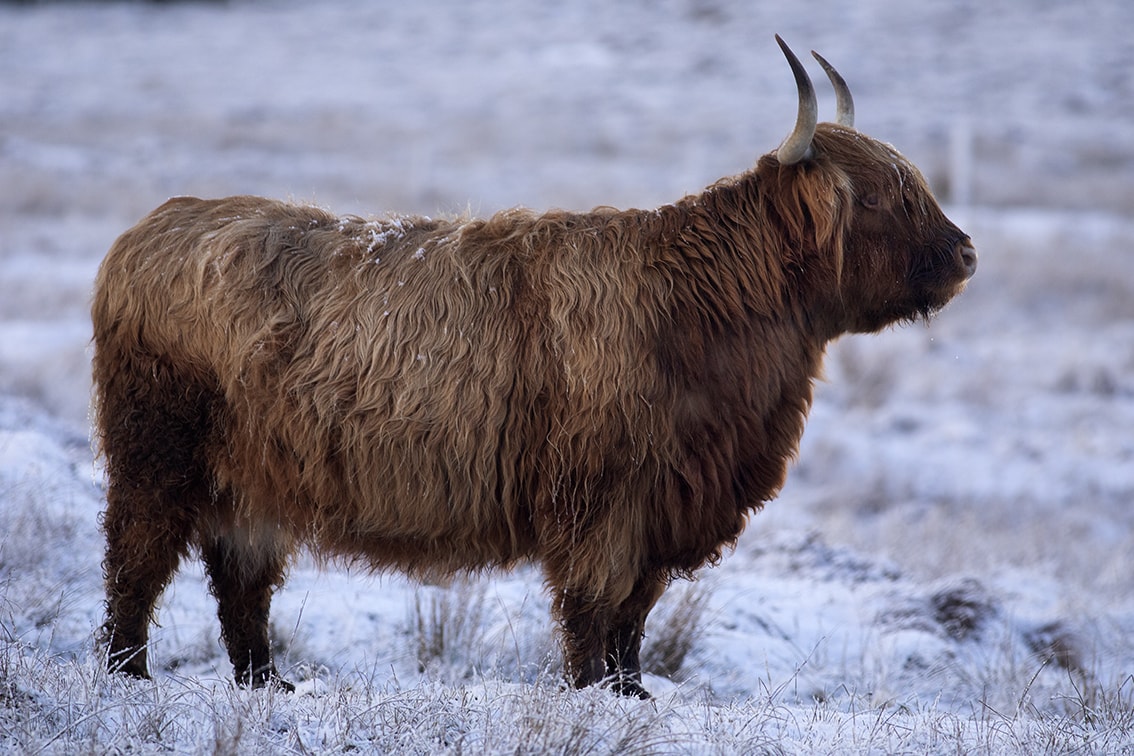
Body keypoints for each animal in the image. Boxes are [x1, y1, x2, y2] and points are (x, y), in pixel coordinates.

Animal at [92, 38, 975, 702]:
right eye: (883, 198)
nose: (966, 254)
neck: (702, 309)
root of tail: (154, 226)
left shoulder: (662, 501)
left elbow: (635, 614)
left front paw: (633, 693)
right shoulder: (602, 500)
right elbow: (596, 607)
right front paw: (597, 694)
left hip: (253, 479)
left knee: (241, 582)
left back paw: (266, 684)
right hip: (155, 456)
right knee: (136, 562)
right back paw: (129, 674)